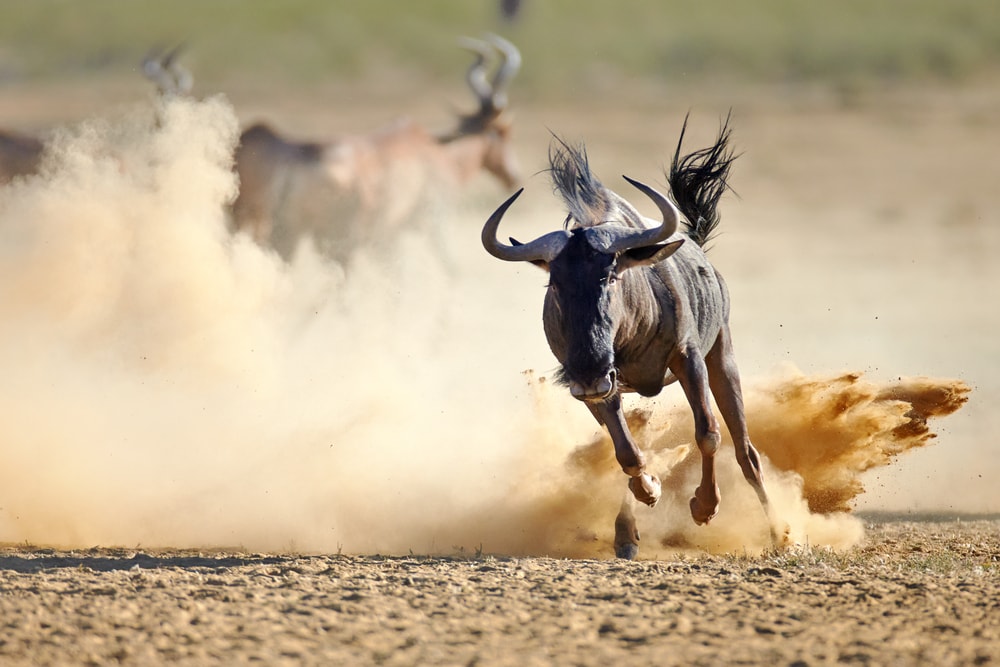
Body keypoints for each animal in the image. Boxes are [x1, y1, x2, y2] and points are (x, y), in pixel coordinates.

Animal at [232, 33, 524, 260]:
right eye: (503, 132)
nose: (514, 176)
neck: (430, 148)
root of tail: (299, 163)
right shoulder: (431, 225)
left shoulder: (389, 238)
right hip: (340, 240)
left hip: (288, 236)